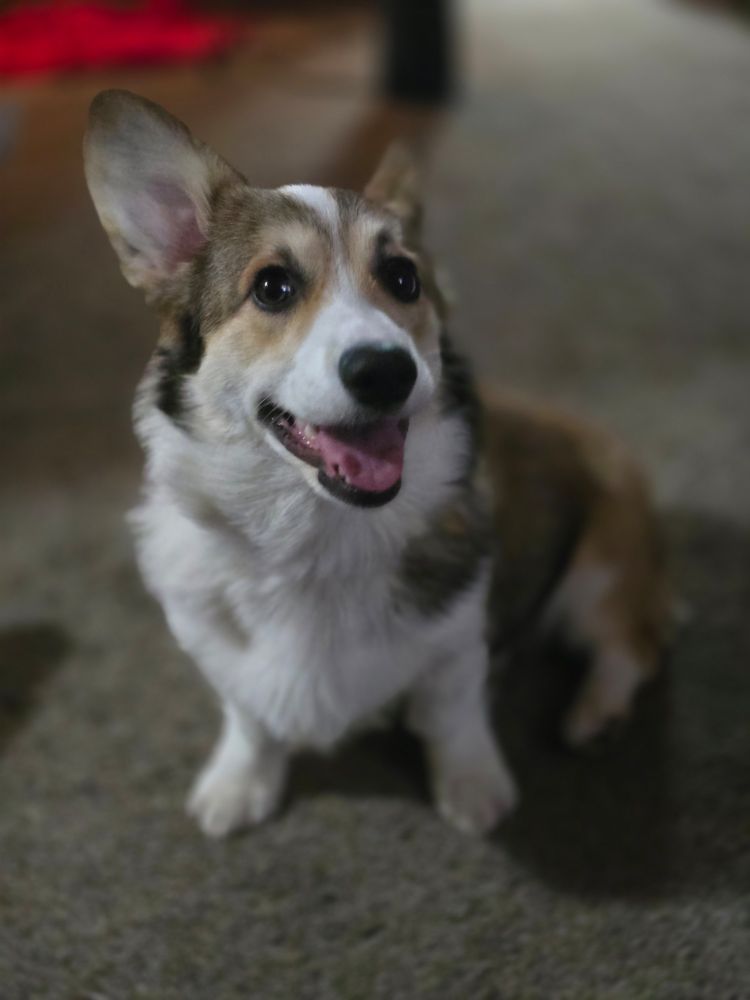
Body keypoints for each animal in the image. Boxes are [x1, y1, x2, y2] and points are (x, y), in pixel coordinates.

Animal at [83, 90, 670, 838]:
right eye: (271, 287)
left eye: (403, 278)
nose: (386, 371)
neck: (314, 536)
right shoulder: (217, 653)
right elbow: (249, 717)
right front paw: (238, 786)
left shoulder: (458, 645)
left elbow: (454, 716)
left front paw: (473, 788)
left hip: (603, 568)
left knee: (634, 642)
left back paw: (596, 714)